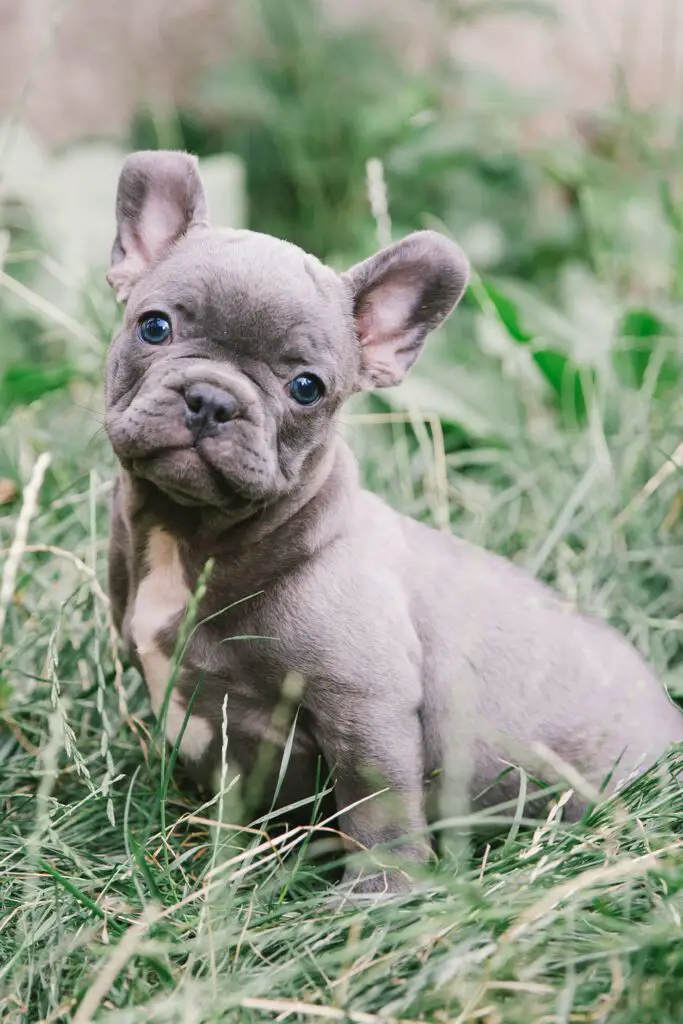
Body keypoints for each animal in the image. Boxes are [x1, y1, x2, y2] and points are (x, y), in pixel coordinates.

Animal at [105, 148, 683, 892]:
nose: (212, 399)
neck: (194, 534)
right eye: (155, 327)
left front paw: (380, 896)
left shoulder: (364, 703)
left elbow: (377, 805)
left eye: (306, 389)